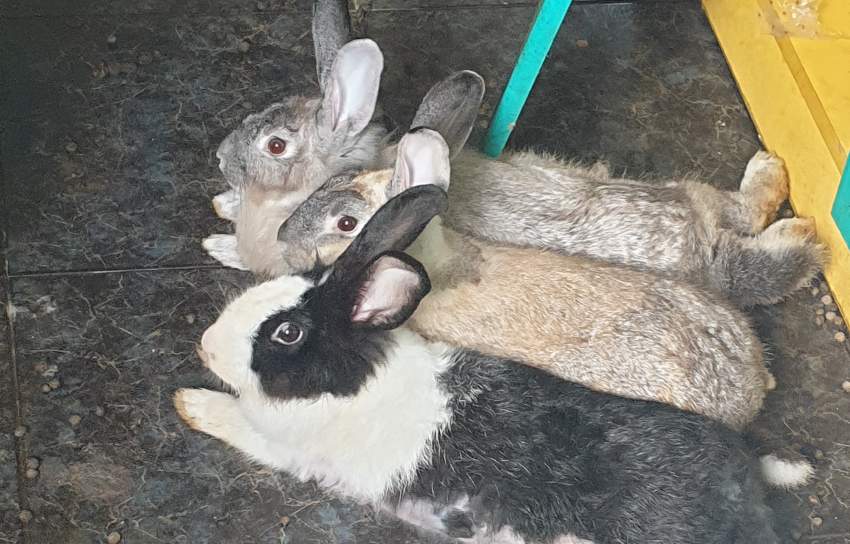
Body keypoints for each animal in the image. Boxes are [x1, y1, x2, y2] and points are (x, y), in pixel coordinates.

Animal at [174, 187, 782, 543]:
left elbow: (236, 420)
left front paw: (189, 403)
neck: (355, 381)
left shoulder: (291, 448)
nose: (206, 345)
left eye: (287, 332)